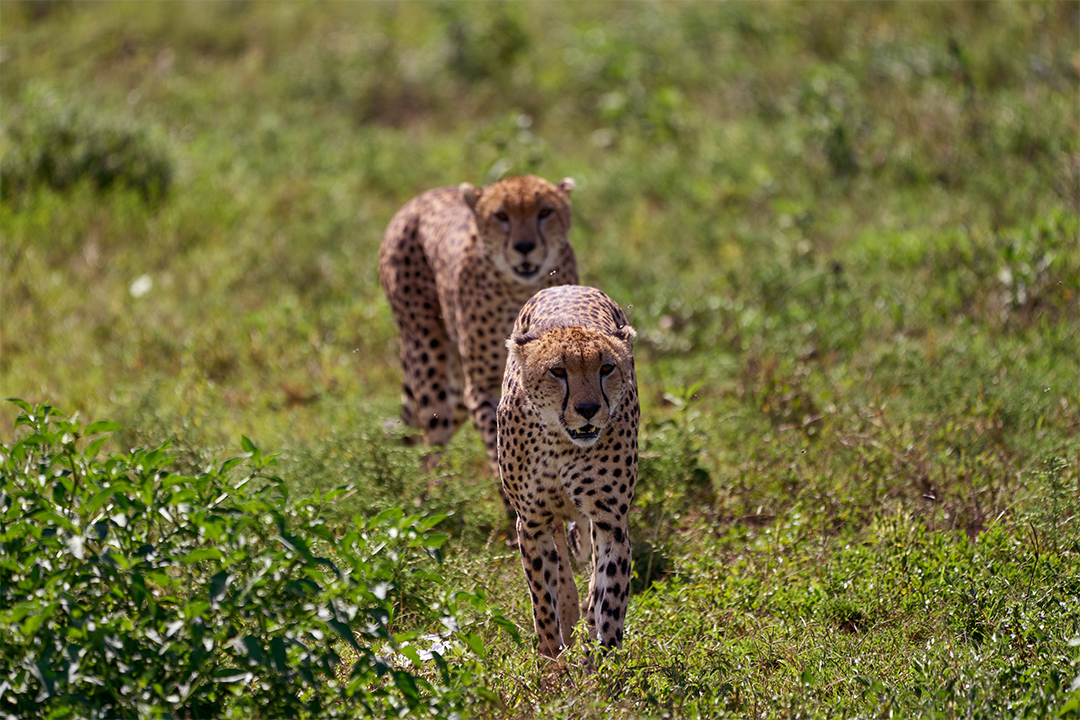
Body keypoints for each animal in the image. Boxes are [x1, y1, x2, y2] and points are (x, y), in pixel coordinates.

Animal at [382, 175, 583, 479]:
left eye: (545, 212)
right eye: (501, 216)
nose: (524, 246)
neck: (518, 289)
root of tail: (417, 201)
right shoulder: (483, 387)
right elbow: (498, 439)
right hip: (427, 355)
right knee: (434, 438)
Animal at [498, 282, 639, 660]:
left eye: (607, 368)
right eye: (558, 371)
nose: (588, 408)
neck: (562, 443)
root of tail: (568, 285)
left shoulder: (611, 522)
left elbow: (610, 596)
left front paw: (605, 662)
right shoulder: (531, 521)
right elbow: (542, 597)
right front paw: (551, 658)